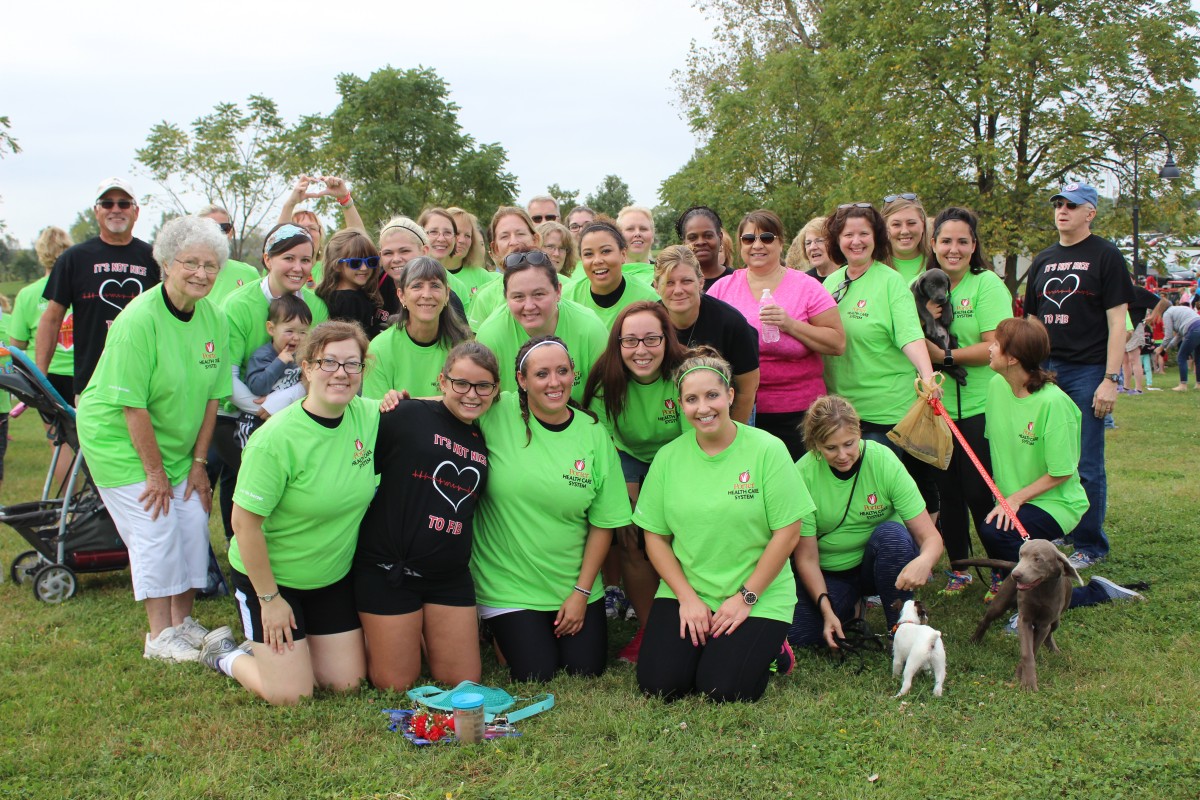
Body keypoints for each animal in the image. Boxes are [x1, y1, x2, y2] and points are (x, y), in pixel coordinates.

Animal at [955, 542, 1089, 690]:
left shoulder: (1044, 624)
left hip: (1056, 621)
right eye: (1021, 554)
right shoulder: (1024, 620)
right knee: (985, 621)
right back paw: (974, 641)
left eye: (1038, 559)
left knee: (1050, 634)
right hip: (1000, 603)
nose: (1016, 574)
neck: (1041, 589)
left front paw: (1023, 678)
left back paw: (1055, 651)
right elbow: (1027, 652)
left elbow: (1034, 648)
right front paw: (1027, 682)